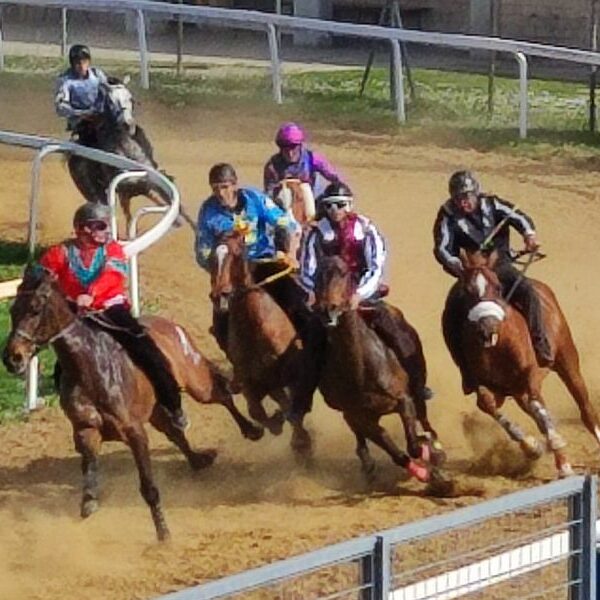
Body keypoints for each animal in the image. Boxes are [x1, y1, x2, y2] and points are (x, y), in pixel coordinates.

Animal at [2, 264, 264, 540]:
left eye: (35, 309)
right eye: (12, 310)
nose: (12, 358)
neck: (90, 368)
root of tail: (171, 325)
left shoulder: (134, 431)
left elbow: (149, 487)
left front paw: (163, 533)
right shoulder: (86, 429)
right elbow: (89, 465)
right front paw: (89, 500)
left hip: (197, 382)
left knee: (222, 395)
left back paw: (252, 429)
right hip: (157, 410)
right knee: (175, 432)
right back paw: (198, 459)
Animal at [66, 77, 193, 230]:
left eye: (130, 98)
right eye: (110, 101)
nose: (127, 124)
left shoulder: (153, 180)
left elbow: (179, 207)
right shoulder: (128, 189)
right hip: (94, 193)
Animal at [209, 232, 316, 458]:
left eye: (237, 254)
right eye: (212, 257)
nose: (219, 295)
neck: (256, 326)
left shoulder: (293, 375)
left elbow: (293, 408)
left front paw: (302, 442)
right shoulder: (250, 381)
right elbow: (257, 411)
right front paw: (275, 425)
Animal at [314, 254, 440, 482]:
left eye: (344, 273)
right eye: (316, 274)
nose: (327, 309)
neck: (360, 370)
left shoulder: (404, 400)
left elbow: (414, 445)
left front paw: (432, 453)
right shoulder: (360, 417)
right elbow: (397, 453)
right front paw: (425, 473)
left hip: (416, 387)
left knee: (423, 415)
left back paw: (434, 443)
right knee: (360, 438)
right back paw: (367, 464)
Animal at [448, 250, 600, 478]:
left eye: (497, 287)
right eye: (466, 291)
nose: (487, 328)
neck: (497, 346)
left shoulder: (531, 376)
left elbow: (538, 406)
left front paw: (563, 463)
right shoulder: (485, 385)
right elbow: (487, 403)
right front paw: (531, 446)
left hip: (567, 361)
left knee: (585, 408)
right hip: (517, 391)